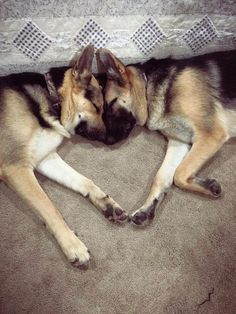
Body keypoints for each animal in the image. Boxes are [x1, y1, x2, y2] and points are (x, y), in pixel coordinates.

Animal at [0, 44, 127, 268]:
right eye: (97, 107)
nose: (111, 139)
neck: (53, 99)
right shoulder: (17, 168)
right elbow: (50, 208)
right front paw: (72, 244)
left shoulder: (46, 159)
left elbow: (85, 181)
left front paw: (106, 203)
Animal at [96, 47, 236, 226]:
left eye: (112, 103)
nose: (107, 141)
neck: (149, 86)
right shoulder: (178, 143)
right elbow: (162, 176)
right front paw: (146, 208)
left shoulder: (210, 135)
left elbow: (179, 174)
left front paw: (208, 186)